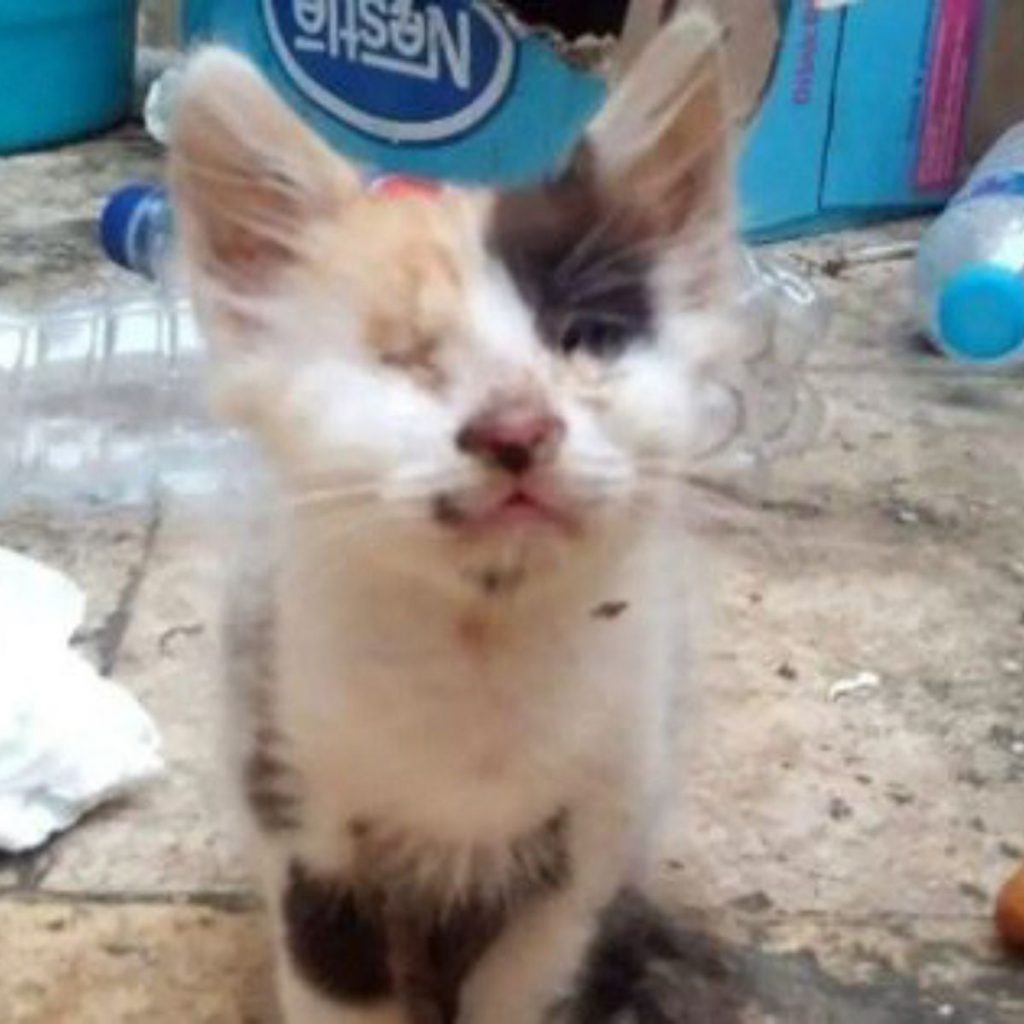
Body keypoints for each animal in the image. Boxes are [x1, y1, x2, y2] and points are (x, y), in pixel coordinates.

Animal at [167, 9, 745, 1024]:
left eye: (585, 340)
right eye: (407, 362)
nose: (516, 431)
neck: (484, 636)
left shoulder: (593, 836)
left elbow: (529, 983)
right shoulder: (298, 797)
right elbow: (332, 977)